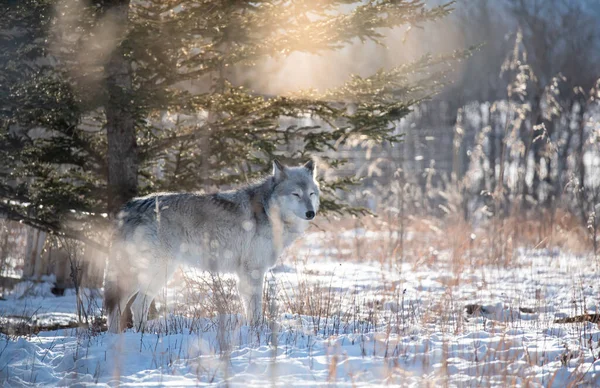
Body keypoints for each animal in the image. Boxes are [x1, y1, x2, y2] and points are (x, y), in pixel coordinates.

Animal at [104, 159, 318, 332]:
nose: (311, 213)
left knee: (117, 307)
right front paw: (259, 331)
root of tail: (130, 207)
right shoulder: (253, 271)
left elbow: (248, 308)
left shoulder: (244, 274)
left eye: (311, 194)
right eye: (296, 194)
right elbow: (256, 308)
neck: (269, 211)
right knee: (136, 306)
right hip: (160, 270)